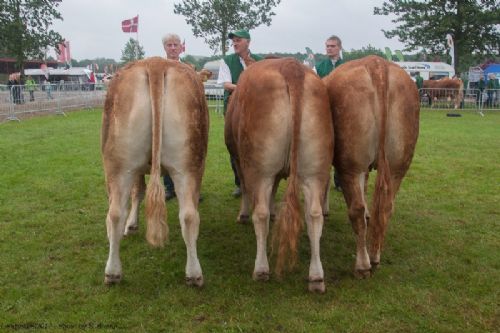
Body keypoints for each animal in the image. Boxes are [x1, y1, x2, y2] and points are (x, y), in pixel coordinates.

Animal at [102, 57, 208, 286]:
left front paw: (132, 225)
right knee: (188, 214)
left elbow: (138, 192)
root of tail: (156, 63)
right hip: (184, 165)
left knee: (116, 213)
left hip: (122, 166)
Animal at [225, 58, 334, 292]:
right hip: (315, 169)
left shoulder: (240, 161)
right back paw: (316, 276)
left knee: (261, 214)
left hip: (259, 168)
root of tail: (290, 67)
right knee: (314, 215)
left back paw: (261, 269)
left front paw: (242, 215)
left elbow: (246, 190)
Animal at [322, 55, 420, 276]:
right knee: (386, 206)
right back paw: (375, 256)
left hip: (351, 165)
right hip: (398, 166)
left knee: (356, 209)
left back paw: (362, 265)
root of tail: (377, 65)